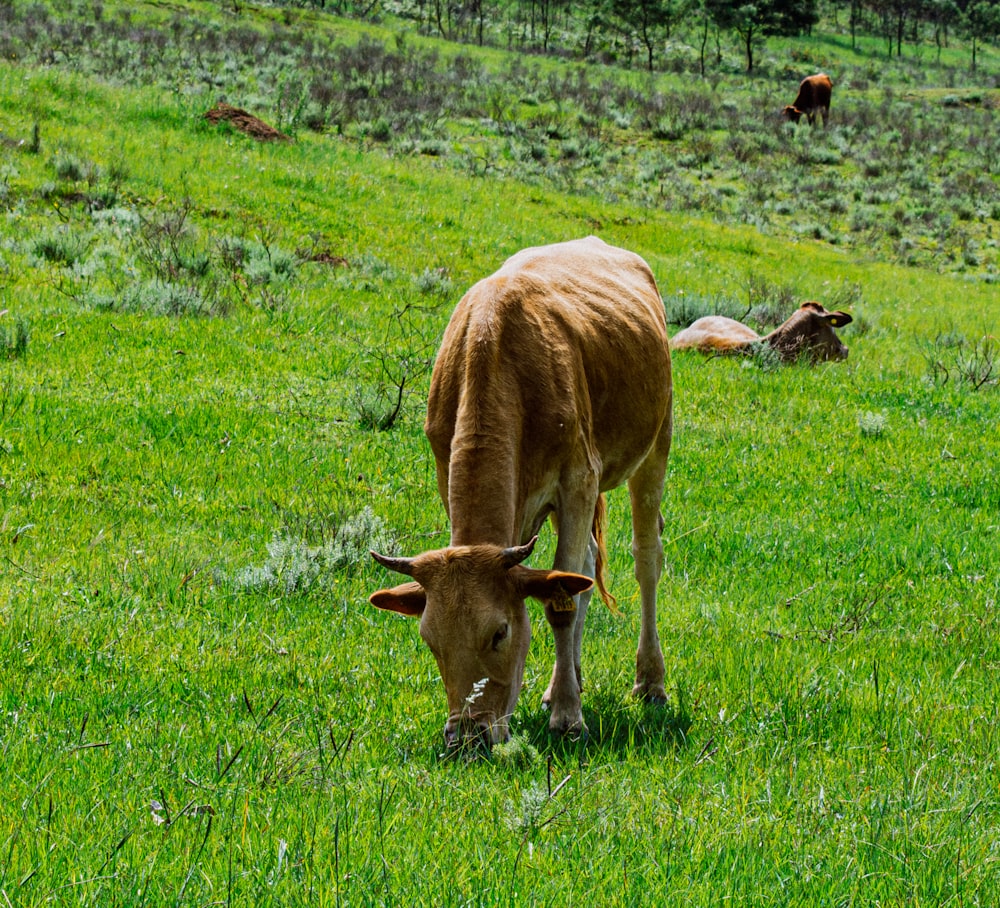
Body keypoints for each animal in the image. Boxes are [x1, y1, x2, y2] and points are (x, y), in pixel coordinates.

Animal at [368, 238, 672, 748]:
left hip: (656, 444)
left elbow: (560, 604)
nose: (466, 737)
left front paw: (569, 716)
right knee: (584, 567)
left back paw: (650, 681)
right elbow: (565, 584)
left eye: (500, 632)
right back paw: (568, 679)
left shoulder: (578, 479)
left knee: (646, 558)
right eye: (430, 640)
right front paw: (562, 695)